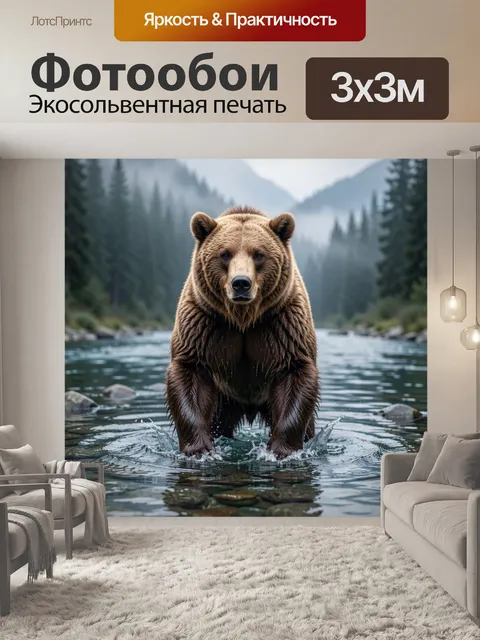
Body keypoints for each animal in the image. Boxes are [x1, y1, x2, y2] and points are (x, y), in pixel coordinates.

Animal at [166, 206, 319, 459]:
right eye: (224, 254)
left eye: (259, 254)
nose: (241, 283)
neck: (243, 319)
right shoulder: (204, 323)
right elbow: (190, 372)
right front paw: (200, 448)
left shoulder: (282, 324)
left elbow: (294, 373)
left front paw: (280, 450)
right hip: (223, 399)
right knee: (218, 421)